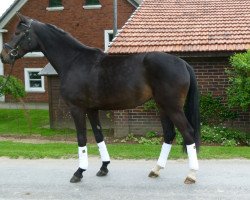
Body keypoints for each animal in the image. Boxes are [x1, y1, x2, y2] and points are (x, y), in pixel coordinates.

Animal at [0, 13, 199, 184]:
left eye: (18, 33)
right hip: (162, 107)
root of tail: (183, 63)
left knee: (188, 133)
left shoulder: (77, 108)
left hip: (172, 107)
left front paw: (79, 172)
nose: (4, 56)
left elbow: (81, 138)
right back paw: (156, 170)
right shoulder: (91, 109)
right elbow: (98, 135)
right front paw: (104, 167)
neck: (74, 61)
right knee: (169, 134)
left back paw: (191, 174)